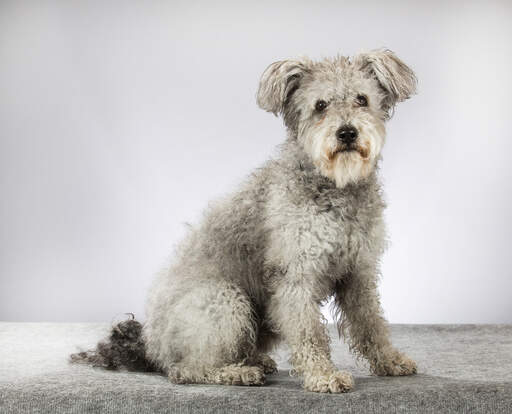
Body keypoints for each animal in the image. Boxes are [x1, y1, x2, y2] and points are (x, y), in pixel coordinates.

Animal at [71, 48, 416, 392]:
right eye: (320, 105)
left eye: (362, 99)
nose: (346, 133)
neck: (334, 188)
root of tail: (150, 345)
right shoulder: (296, 277)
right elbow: (310, 333)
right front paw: (323, 375)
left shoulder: (358, 274)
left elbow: (371, 323)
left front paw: (390, 361)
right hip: (225, 300)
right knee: (186, 370)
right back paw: (238, 373)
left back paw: (254, 361)